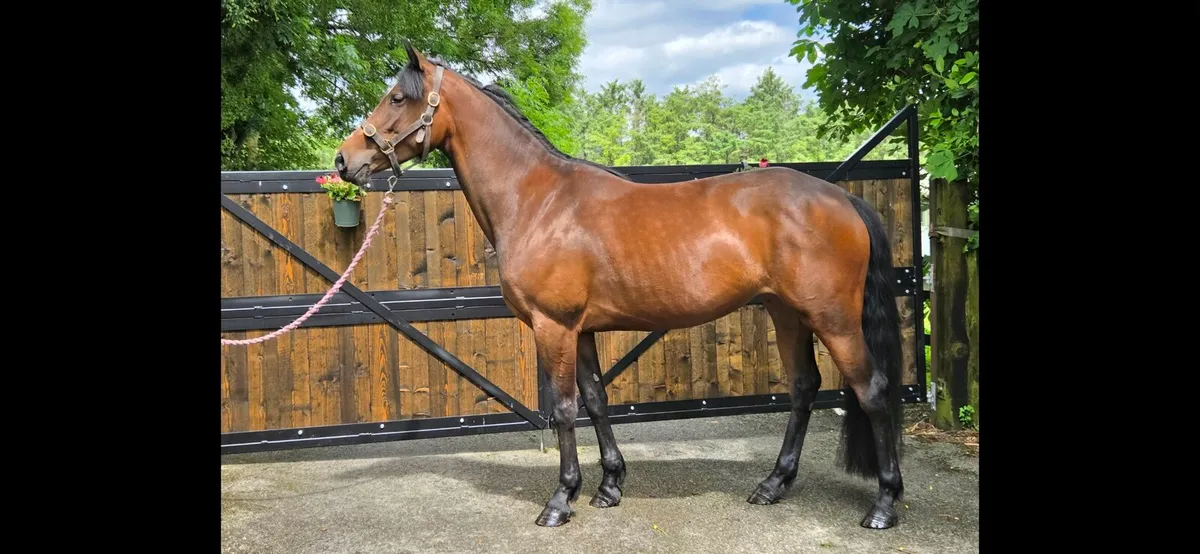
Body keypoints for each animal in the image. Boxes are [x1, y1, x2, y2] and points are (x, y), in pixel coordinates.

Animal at [333, 44, 906, 530]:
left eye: (397, 97)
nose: (344, 160)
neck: (538, 200)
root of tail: (841, 198)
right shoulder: (581, 330)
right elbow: (595, 399)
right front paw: (609, 486)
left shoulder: (553, 327)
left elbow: (565, 408)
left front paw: (561, 500)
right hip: (785, 313)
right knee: (804, 387)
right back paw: (773, 485)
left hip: (833, 319)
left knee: (873, 390)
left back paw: (884, 505)